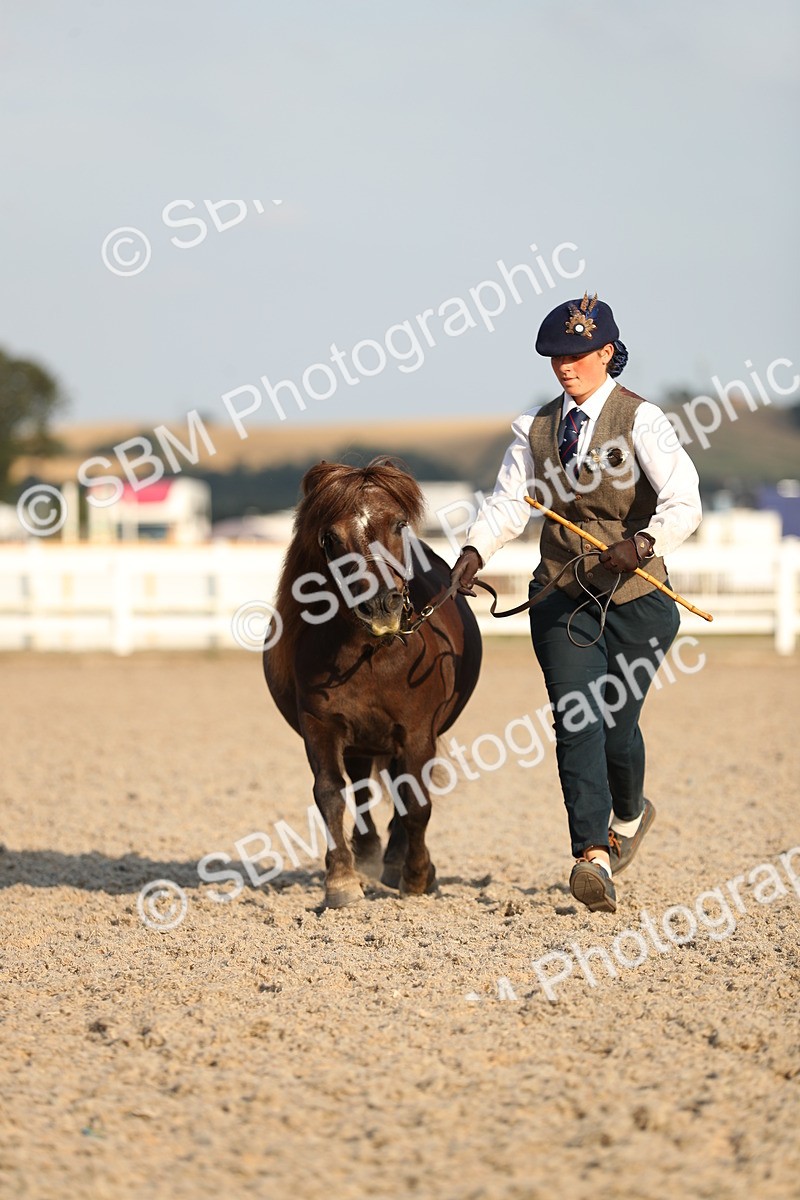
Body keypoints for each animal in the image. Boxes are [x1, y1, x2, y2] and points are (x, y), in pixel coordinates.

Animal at [263, 458, 482, 908]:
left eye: (399, 524)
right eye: (330, 537)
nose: (382, 605)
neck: (371, 654)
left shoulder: (417, 732)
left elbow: (415, 803)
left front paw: (417, 876)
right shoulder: (321, 727)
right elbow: (330, 794)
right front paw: (342, 881)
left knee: (400, 791)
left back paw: (397, 861)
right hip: (361, 743)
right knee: (362, 788)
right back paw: (366, 854)